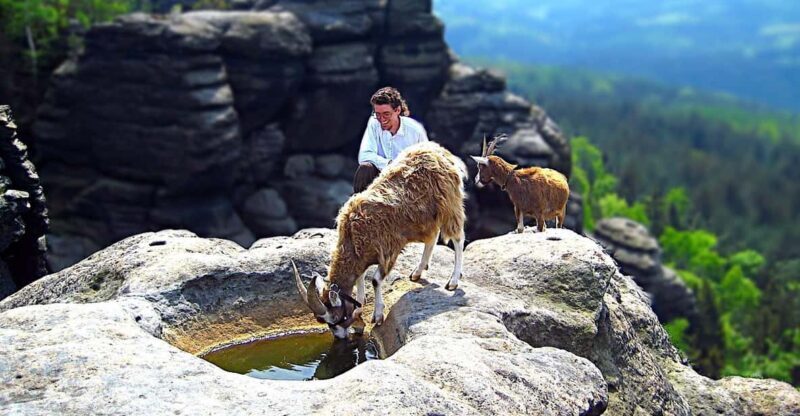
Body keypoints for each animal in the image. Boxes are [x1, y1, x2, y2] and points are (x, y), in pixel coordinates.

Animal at [293, 141, 467, 339]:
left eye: (335, 317)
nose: (339, 337)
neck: (352, 236)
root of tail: (439, 151)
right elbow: (360, 277)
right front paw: (359, 307)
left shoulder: (389, 249)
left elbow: (375, 280)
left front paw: (377, 316)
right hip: (428, 216)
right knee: (433, 236)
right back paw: (418, 272)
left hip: (450, 204)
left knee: (458, 238)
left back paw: (453, 281)